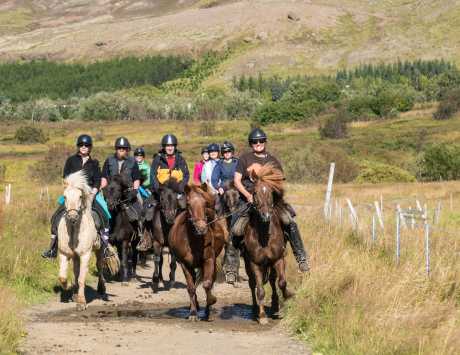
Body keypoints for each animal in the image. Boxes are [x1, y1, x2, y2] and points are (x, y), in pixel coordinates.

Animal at [57, 171, 106, 310]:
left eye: (80, 196)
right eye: (65, 196)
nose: (72, 217)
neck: (74, 230)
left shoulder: (85, 254)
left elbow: (81, 278)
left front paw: (81, 302)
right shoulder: (64, 253)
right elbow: (63, 277)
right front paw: (68, 287)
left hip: (99, 250)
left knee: (99, 266)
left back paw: (101, 288)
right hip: (75, 256)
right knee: (75, 270)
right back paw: (74, 292)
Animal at [168, 185, 227, 322]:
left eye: (205, 203)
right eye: (188, 204)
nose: (201, 228)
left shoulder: (209, 260)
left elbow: (207, 284)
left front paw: (211, 303)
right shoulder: (185, 264)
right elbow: (191, 288)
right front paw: (193, 313)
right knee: (193, 284)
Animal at [243, 164, 292, 326]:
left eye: (271, 192)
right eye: (255, 192)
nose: (265, 215)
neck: (264, 235)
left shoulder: (278, 259)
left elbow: (282, 282)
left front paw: (287, 297)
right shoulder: (255, 263)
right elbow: (259, 290)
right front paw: (262, 316)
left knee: (272, 280)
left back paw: (276, 306)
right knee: (252, 284)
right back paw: (254, 310)